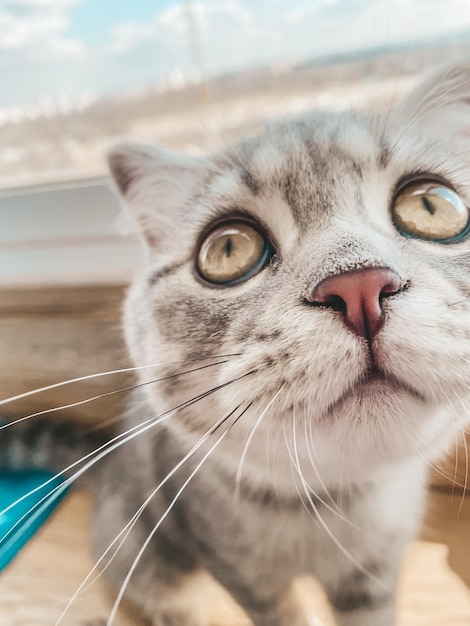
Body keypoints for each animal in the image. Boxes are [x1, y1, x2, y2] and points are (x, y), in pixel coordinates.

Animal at [0, 59, 470, 624]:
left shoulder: (374, 571)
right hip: (145, 556)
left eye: (432, 206)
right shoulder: (238, 569)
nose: (359, 284)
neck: (335, 503)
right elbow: (280, 614)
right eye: (227, 250)